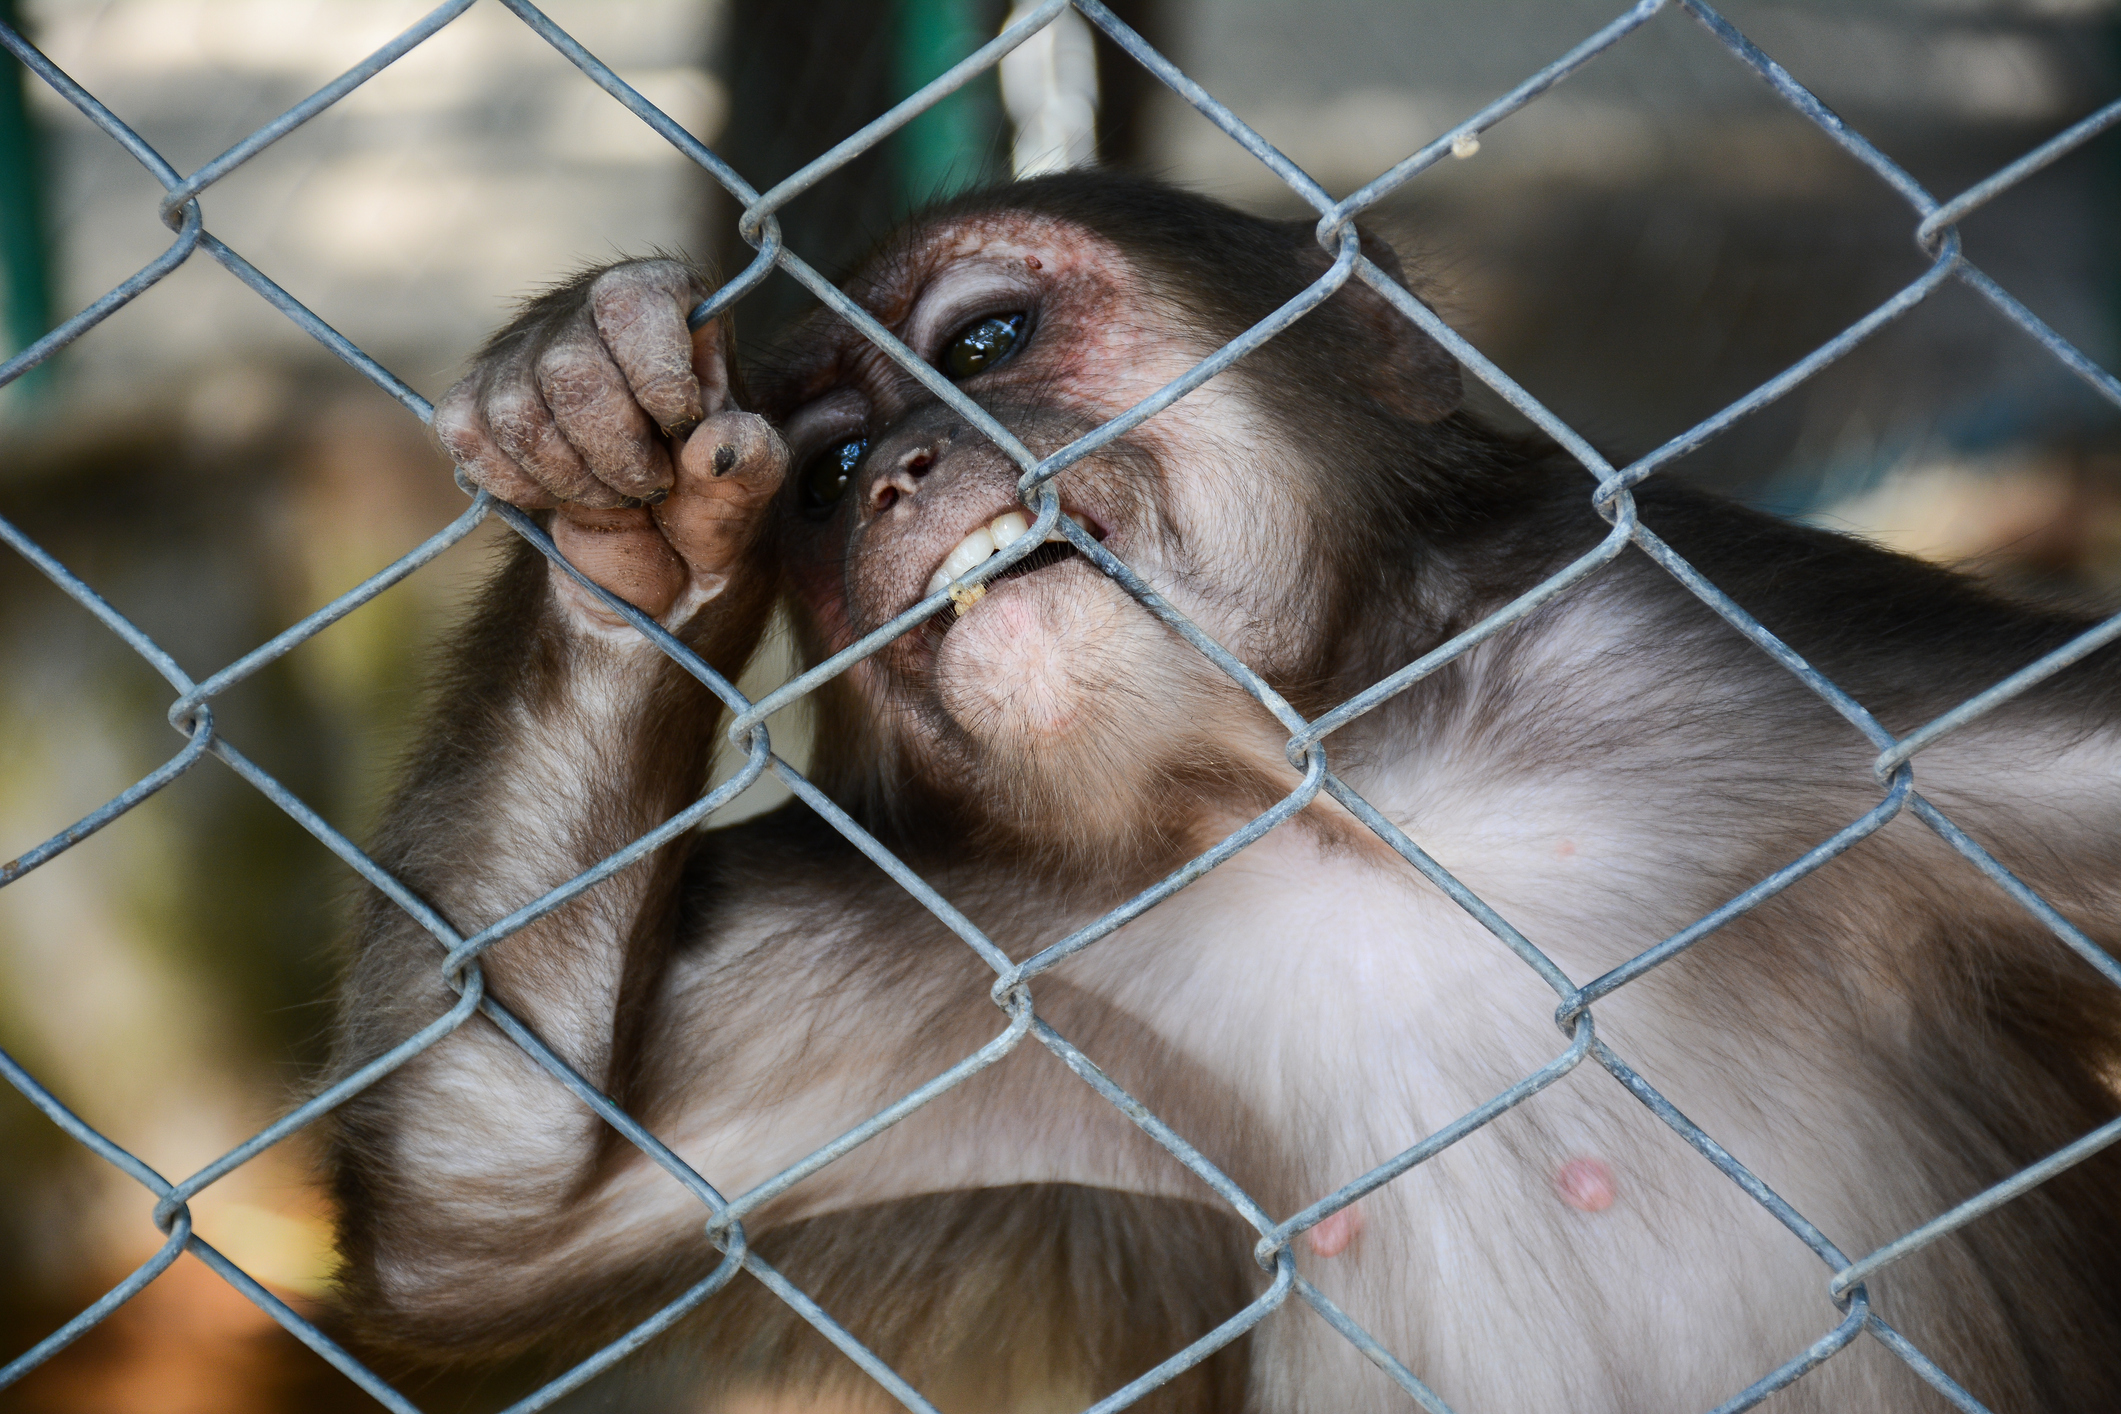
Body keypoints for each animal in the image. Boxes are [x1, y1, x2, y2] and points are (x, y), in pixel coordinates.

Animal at [326, 177, 2121, 1414]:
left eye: (986, 341)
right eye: (825, 478)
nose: (899, 473)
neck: (1323, 807)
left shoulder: (1752, 666)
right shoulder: (970, 929)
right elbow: (492, 1203)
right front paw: (608, 495)